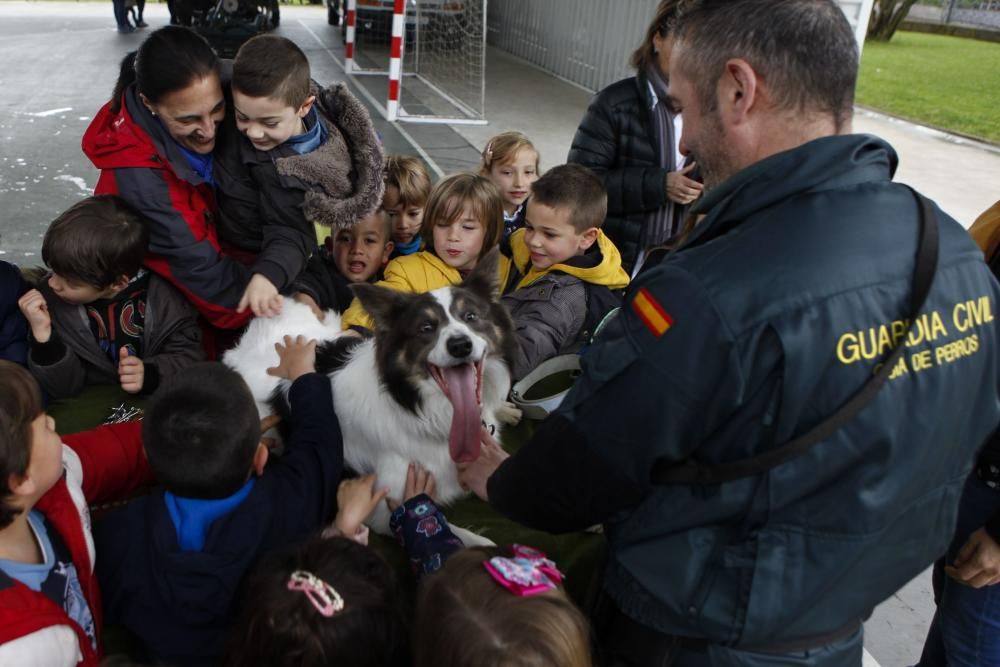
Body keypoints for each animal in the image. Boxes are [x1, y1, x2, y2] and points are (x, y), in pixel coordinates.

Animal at [222, 249, 512, 532]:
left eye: (471, 317)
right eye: (425, 328)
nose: (460, 345)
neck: (423, 411)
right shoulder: (385, 510)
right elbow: (464, 534)